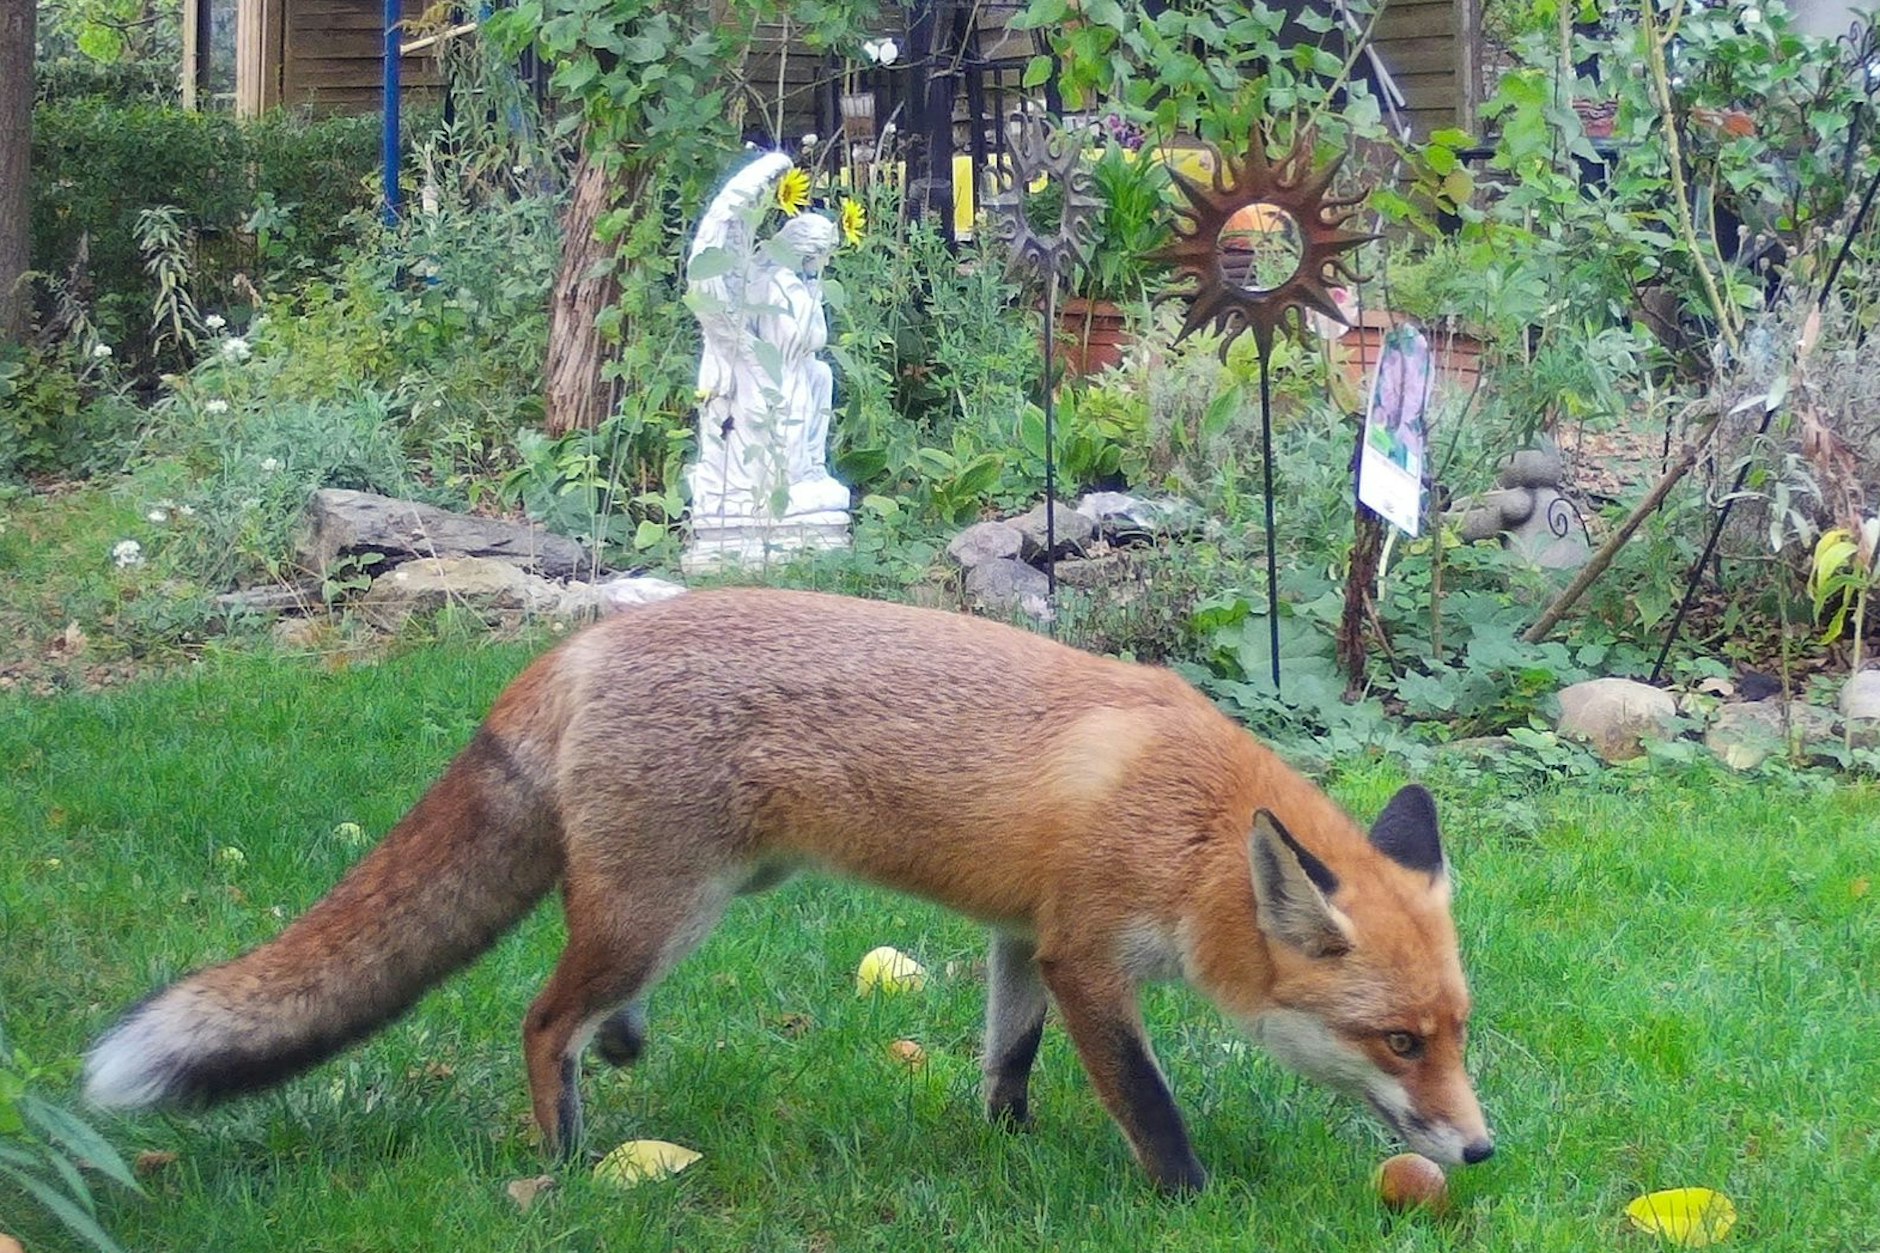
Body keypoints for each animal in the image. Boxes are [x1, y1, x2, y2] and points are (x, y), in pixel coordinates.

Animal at [84, 587, 1492, 1193]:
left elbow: (1005, 1058)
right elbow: (1148, 1103)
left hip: (683, 903)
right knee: (540, 1017)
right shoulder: (1087, 953)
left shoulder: (1019, 935)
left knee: (590, 1005)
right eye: (1397, 1040)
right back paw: (567, 1159)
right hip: (667, 905)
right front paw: (1187, 1201)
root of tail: (580, 643)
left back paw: (622, 1054)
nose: (1482, 1147)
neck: (1189, 824)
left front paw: (1008, 1148)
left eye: (1457, 1034)